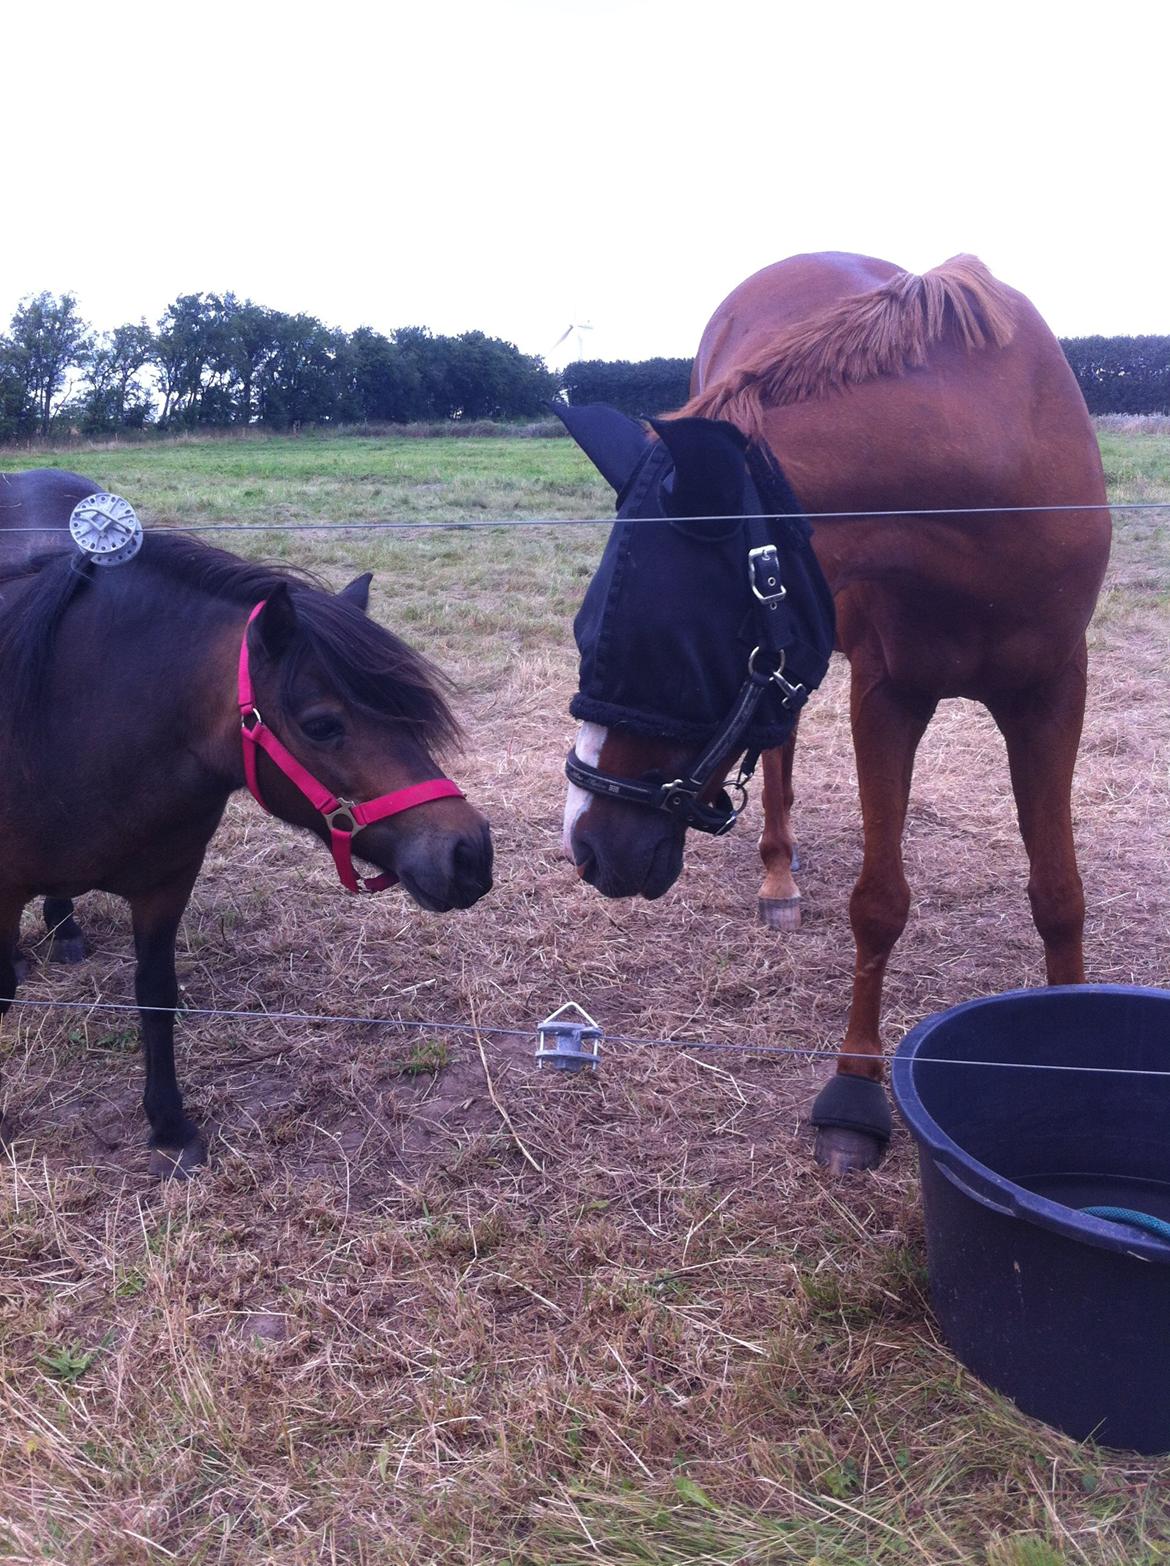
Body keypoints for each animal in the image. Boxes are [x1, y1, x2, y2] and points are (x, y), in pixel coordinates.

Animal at [0, 469, 494, 1177]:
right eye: (322, 725)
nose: (469, 853)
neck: (71, 725)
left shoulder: (166, 884)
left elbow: (157, 994)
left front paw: (170, 1127)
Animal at [563, 250, 1115, 1171]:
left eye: (669, 644)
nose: (588, 846)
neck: (990, 488)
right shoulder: (888, 698)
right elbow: (880, 902)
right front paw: (855, 1093)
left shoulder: (1052, 694)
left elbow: (1060, 893)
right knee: (780, 758)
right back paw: (777, 875)